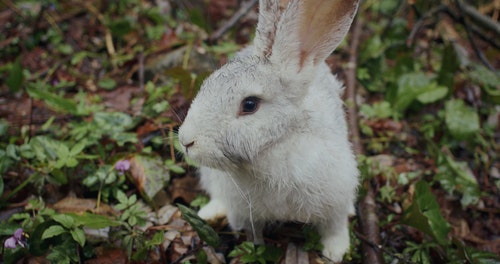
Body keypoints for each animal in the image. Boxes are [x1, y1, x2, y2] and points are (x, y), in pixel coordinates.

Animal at [179, 0, 360, 262]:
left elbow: (334, 227)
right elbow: (254, 234)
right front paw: (256, 250)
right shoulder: (247, 215)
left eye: (249, 104)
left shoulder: (336, 198)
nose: (186, 140)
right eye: (206, 85)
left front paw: (335, 252)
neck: (271, 150)